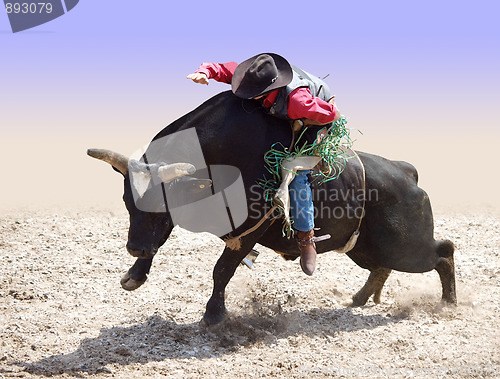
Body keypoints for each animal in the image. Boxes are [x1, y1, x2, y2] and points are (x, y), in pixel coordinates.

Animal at [87, 90, 458, 326]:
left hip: (407, 247)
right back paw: (359, 298)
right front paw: (135, 274)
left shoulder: (249, 229)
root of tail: (405, 171)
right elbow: (158, 242)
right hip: (364, 246)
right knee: (382, 266)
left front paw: (214, 315)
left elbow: (222, 269)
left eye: (163, 205)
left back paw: (449, 303)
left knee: (444, 251)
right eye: (128, 202)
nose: (133, 247)